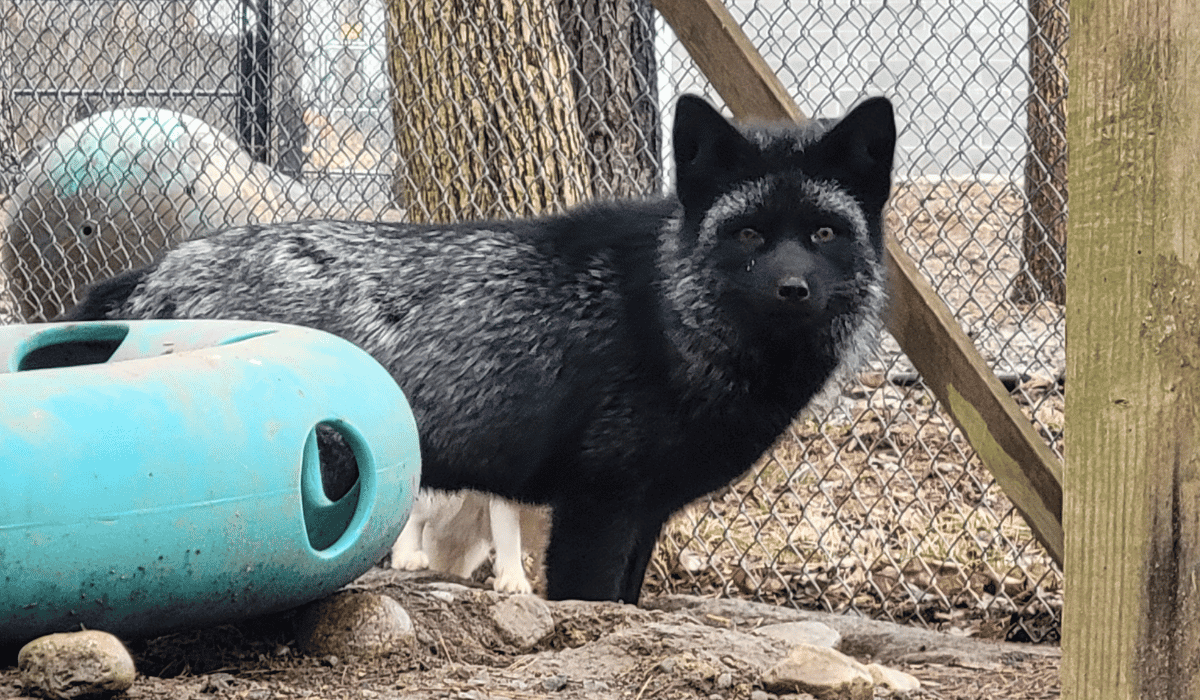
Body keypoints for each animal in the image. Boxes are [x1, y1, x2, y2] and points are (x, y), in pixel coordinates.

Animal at [65, 94, 896, 604]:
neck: (668, 310)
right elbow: (592, 601)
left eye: (823, 232)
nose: (793, 290)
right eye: (749, 234)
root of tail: (158, 270)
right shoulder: (599, 506)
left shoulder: (645, 511)